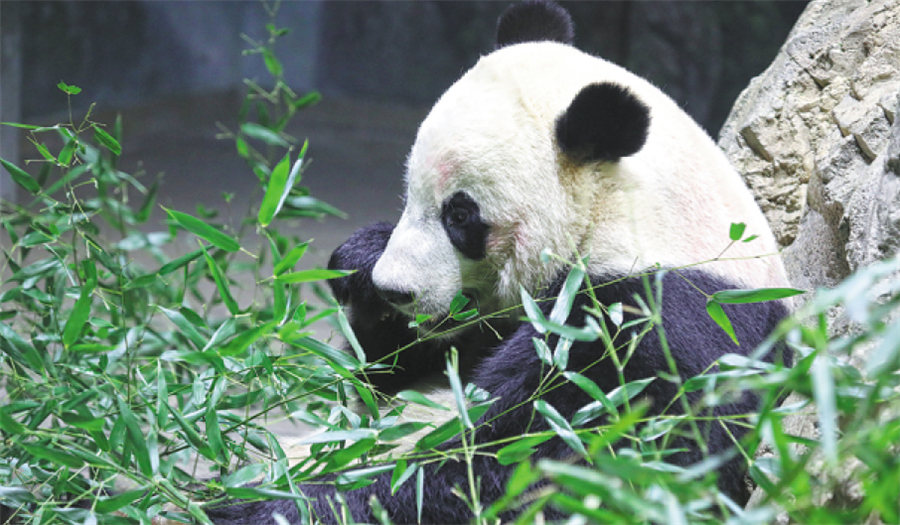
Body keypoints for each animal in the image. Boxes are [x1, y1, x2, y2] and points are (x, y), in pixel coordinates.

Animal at [208, 1, 791, 523]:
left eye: (460, 215)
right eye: (408, 193)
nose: (397, 290)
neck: (623, 214)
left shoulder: (647, 320)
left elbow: (520, 463)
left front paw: (267, 508)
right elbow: (391, 379)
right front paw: (360, 266)